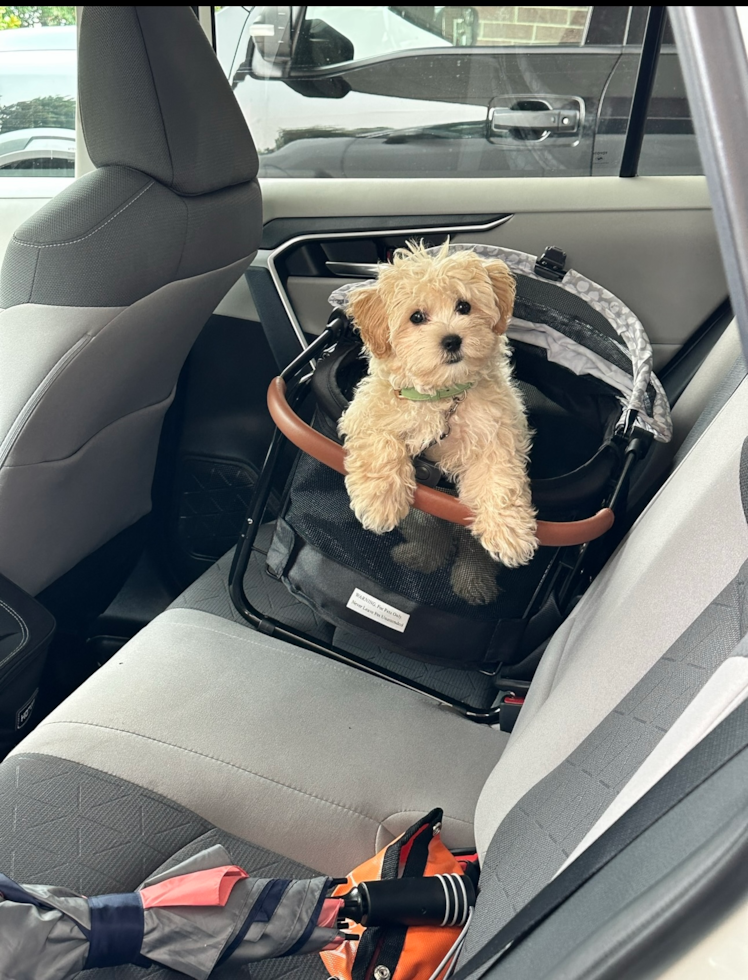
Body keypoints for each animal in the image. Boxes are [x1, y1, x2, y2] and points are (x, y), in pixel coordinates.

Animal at [338, 241, 536, 572]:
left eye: (464, 307)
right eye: (416, 317)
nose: (452, 340)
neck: (442, 396)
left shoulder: (498, 432)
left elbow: (500, 477)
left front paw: (510, 532)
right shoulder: (365, 411)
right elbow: (382, 441)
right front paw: (379, 502)